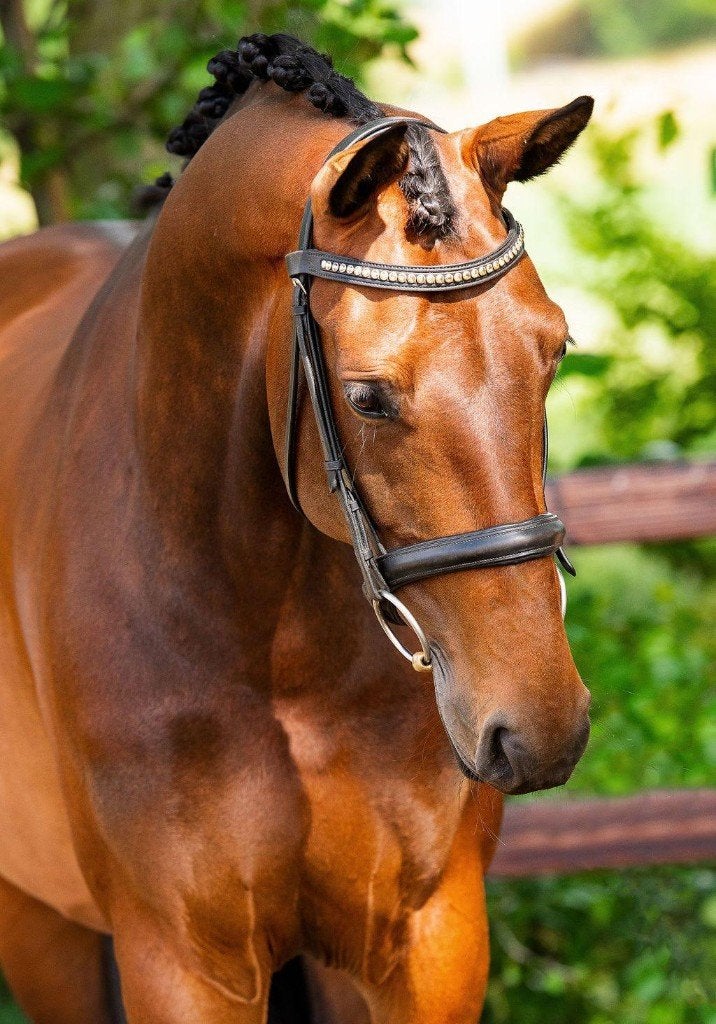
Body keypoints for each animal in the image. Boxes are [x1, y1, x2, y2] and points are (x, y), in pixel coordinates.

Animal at [0, 32, 593, 1024]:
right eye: (367, 396)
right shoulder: (183, 967)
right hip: (42, 929)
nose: (542, 728)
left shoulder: (426, 940)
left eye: (553, 352)